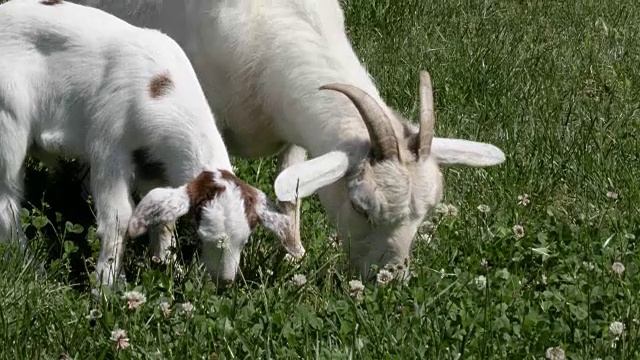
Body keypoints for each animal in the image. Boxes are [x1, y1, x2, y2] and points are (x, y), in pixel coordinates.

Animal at [0, 0, 296, 286]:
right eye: (201, 233)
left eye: (246, 239)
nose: (223, 283)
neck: (158, 91)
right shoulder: (108, 148)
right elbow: (119, 218)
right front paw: (108, 286)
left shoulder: (156, 166)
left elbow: (163, 217)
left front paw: (167, 265)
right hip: (9, 121)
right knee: (8, 202)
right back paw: (32, 268)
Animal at [72, 0, 508, 278]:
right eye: (360, 206)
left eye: (427, 212)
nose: (389, 279)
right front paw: (164, 256)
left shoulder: (292, 132)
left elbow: (291, 195)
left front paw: (293, 256)